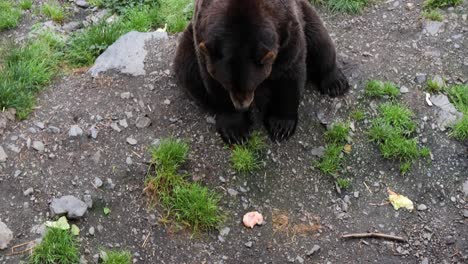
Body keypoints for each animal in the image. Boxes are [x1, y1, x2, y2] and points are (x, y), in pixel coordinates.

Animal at [174, 0, 350, 144]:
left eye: (251, 85)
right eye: (229, 85)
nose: (242, 106)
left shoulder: (288, 31)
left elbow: (290, 74)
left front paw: (281, 126)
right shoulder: (202, 38)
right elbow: (212, 83)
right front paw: (236, 130)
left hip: (306, 14)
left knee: (319, 40)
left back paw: (335, 83)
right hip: (187, 44)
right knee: (188, 72)